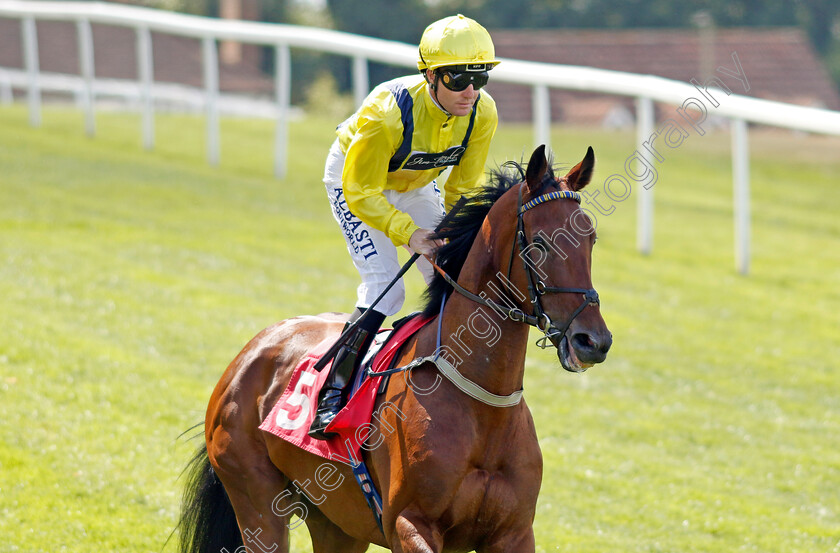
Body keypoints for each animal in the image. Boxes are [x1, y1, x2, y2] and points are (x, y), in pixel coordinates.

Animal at [177, 146, 612, 552]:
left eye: (591, 238)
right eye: (538, 244)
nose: (593, 341)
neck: (483, 407)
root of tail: (252, 350)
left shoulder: (515, 533)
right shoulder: (409, 523)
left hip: (337, 523)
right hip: (257, 502)